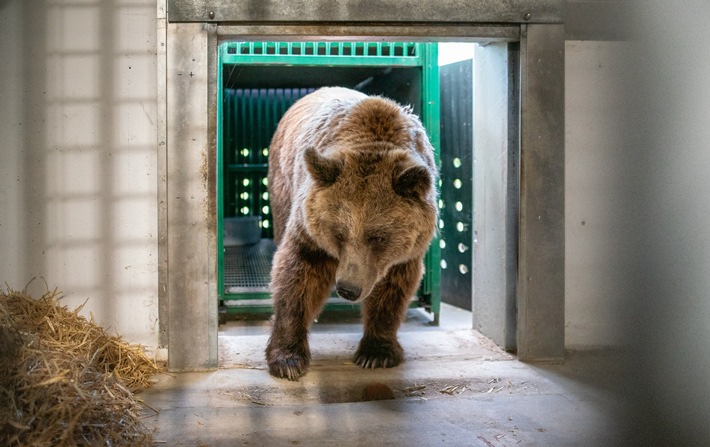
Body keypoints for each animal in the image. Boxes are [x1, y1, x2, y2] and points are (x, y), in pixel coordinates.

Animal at [264, 86, 436, 380]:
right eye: (338, 232)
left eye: (378, 236)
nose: (347, 288)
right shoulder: (308, 231)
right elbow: (296, 277)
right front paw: (288, 359)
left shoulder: (404, 253)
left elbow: (393, 289)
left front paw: (376, 352)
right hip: (281, 183)